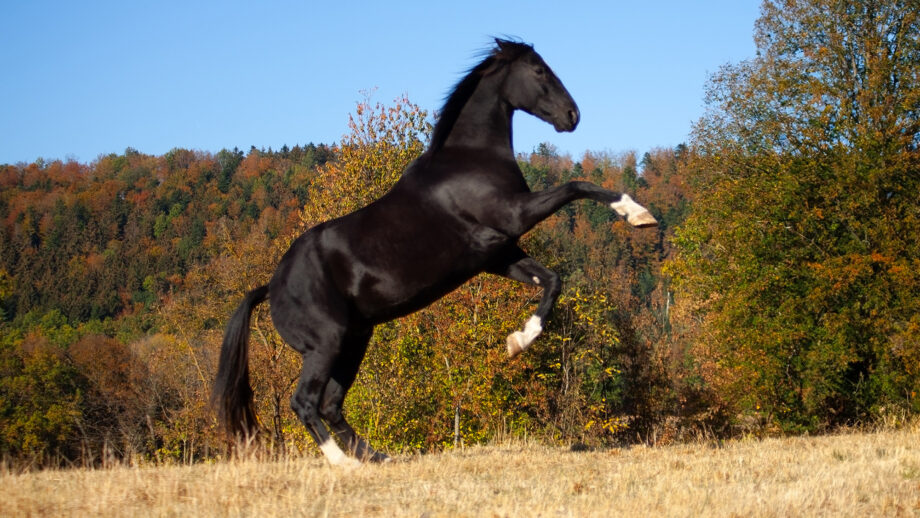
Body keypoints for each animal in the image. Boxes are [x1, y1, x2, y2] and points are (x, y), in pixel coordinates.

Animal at [212, 38, 657, 466]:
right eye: (538, 70)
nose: (572, 115)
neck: (469, 160)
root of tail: (270, 287)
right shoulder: (514, 216)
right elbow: (576, 186)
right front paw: (638, 215)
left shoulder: (497, 253)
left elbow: (552, 281)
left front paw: (517, 341)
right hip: (325, 344)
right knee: (304, 402)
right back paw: (344, 464)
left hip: (354, 341)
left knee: (331, 405)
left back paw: (378, 457)